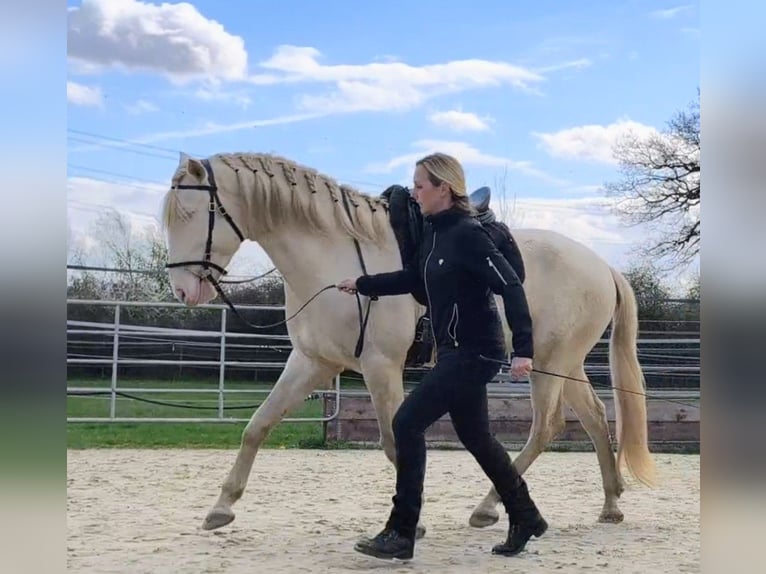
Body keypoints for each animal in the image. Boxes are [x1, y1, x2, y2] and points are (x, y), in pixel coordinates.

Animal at [160, 151, 657, 535]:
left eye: (188, 215)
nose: (183, 291)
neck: (332, 255)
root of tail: (603, 266)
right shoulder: (312, 362)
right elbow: (257, 426)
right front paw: (221, 507)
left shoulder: (380, 367)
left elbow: (392, 441)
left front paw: (409, 524)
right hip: (563, 364)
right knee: (595, 418)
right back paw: (610, 505)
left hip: (547, 365)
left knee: (546, 428)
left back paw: (488, 507)